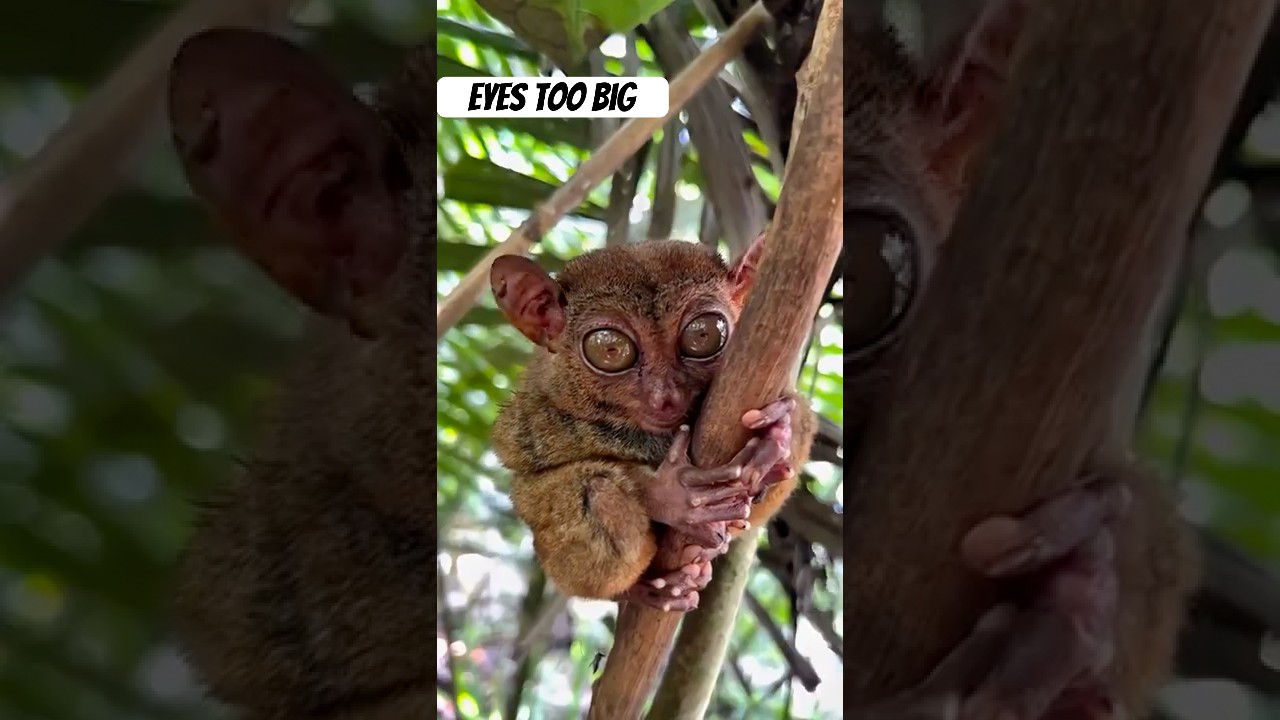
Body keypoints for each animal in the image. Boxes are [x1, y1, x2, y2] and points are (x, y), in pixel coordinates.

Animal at [488, 237, 817, 611]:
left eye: (703, 335)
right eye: (610, 349)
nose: (665, 396)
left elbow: (791, 415)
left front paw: (775, 438)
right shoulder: (532, 417)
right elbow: (530, 451)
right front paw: (671, 497)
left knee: (804, 417)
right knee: (593, 489)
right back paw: (646, 589)